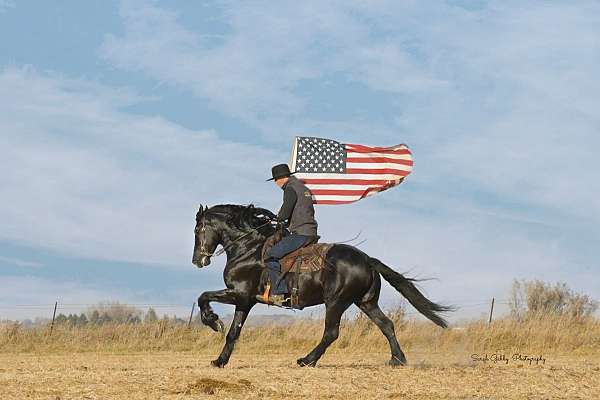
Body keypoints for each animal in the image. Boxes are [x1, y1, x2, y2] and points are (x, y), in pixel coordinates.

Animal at [192, 205, 450, 368]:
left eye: (197, 229)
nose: (198, 260)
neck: (248, 247)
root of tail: (368, 259)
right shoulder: (245, 301)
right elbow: (233, 332)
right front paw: (220, 361)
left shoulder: (239, 294)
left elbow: (203, 296)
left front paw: (212, 321)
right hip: (365, 302)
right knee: (386, 325)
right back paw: (397, 359)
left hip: (336, 302)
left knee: (331, 333)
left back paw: (307, 360)